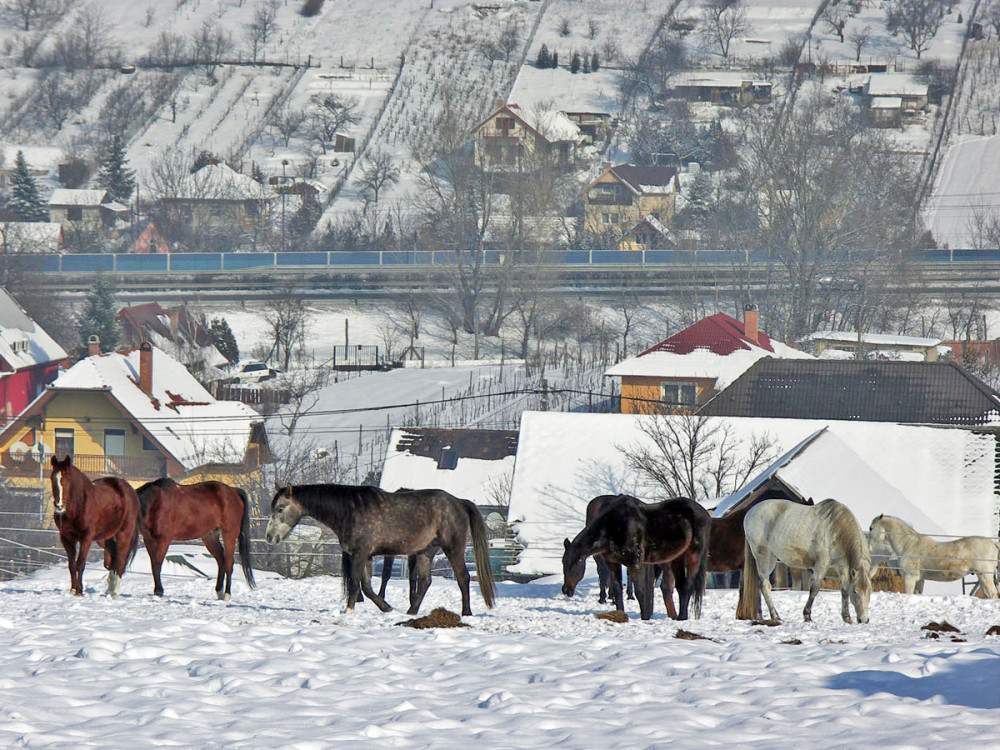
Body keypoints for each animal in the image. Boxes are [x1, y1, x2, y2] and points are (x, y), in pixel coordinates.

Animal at [49, 452, 141, 600]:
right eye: (52, 477)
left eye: (67, 478)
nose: (59, 506)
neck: (79, 506)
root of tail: (131, 492)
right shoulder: (66, 538)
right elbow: (71, 564)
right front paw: (73, 590)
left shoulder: (86, 538)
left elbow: (80, 563)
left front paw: (79, 591)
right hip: (105, 539)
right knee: (113, 558)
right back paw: (109, 589)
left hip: (124, 534)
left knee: (121, 559)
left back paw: (114, 592)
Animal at [268, 484, 498, 620]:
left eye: (280, 508)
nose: (270, 537)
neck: (349, 510)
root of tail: (459, 502)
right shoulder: (366, 556)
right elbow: (367, 587)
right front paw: (387, 608)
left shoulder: (359, 554)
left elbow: (355, 584)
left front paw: (348, 610)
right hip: (426, 552)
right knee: (425, 582)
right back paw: (411, 612)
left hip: (453, 547)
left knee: (463, 577)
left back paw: (466, 613)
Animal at [564, 494, 712, 624]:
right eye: (563, 563)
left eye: (577, 562)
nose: (566, 590)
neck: (616, 526)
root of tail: (704, 513)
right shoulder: (613, 563)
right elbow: (617, 590)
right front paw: (620, 615)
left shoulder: (636, 563)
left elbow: (641, 592)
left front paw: (645, 618)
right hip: (676, 559)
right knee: (680, 587)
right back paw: (681, 616)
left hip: (693, 555)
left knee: (688, 585)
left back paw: (681, 617)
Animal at [740, 500, 872, 628]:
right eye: (855, 591)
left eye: (869, 592)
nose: (864, 620)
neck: (835, 529)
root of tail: (749, 513)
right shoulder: (821, 563)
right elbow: (815, 588)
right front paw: (807, 615)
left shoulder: (842, 567)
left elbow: (844, 590)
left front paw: (847, 618)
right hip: (764, 556)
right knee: (765, 585)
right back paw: (775, 616)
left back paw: (759, 615)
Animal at [868, 516, 1000, 600]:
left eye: (871, 528)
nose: (869, 546)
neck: (908, 544)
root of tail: (994, 544)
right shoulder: (920, 580)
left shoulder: (909, 578)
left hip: (985, 576)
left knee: (992, 594)